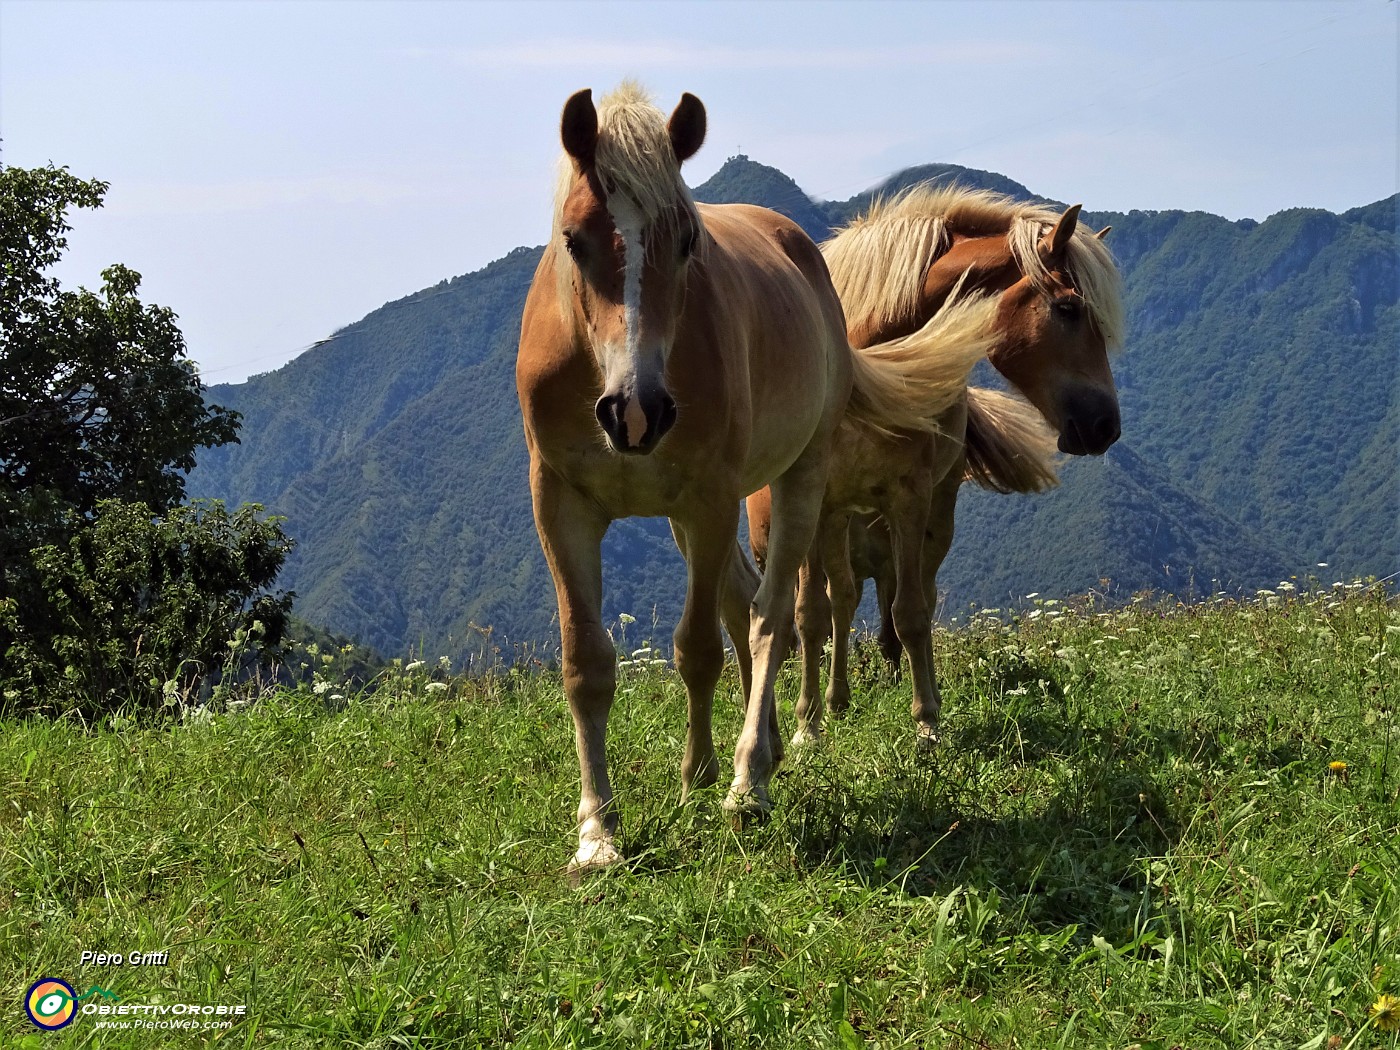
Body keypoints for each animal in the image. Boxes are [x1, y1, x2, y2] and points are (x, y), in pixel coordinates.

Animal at [520, 84, 1002, 873]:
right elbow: (586, 662)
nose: (636, 411)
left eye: (688, 241)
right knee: (746, 603)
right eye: (572, 239)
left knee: (773, 615)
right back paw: (766, 746)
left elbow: (698, 649)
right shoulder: (560, 504)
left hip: (795, 486)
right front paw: (597, 831)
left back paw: (751, 777)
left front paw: (700, 778)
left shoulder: (712, 500)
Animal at [744, 187, 1125, 750]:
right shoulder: (811, 501)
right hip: (832, 518)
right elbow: (810, 615)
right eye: (1069, 308)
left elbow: (910, 614)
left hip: (930, 514)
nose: (1105, 426)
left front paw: (926, 721)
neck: (869, 371)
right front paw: (807, 725)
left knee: (912, 594)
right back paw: (833, 702)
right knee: (839, 600)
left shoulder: (910, 497)